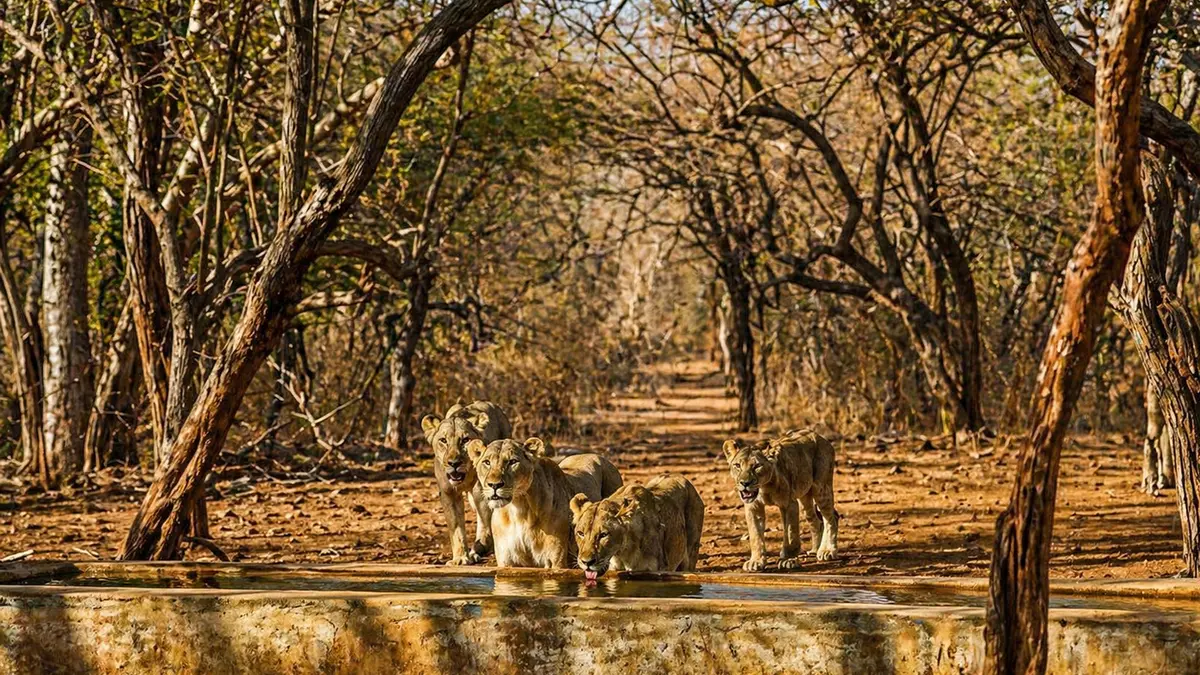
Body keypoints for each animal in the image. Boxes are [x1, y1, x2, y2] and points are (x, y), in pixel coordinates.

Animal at [421, 401, 513, 565]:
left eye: (465, 440)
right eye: (443, 440)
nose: (454, 463)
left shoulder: (481, 491)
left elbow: (485, 523)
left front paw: (480, 548)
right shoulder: (448, 493)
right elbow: (456, 528)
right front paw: (460, 558)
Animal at [466, 437, 623, 569]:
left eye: (512, 462)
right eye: (487, 462)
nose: (494, 485)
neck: (519, 509)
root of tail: (596, 455)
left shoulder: (556, 561)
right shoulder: (506, 562)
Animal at [570, 474, 704, 581]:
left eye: (604, 534)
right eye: (580, 533)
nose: (586, 562)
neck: (623, 553)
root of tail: (679, 476)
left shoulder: (655, 572)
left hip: (691, 554)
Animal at [723, 429, 839, 571]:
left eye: (757, 466)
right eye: (737, 465)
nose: (745, 483)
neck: (763, 488)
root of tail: (821, 437)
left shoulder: (789, 504)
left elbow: (790, 534)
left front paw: (788, 560)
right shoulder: (753, 507)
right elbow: (755, 535)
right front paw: (756, 561)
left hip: (821, 489)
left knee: (831, 518)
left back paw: (827, 551)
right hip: (805, 497)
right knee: (816, 520)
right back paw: (814, 550)